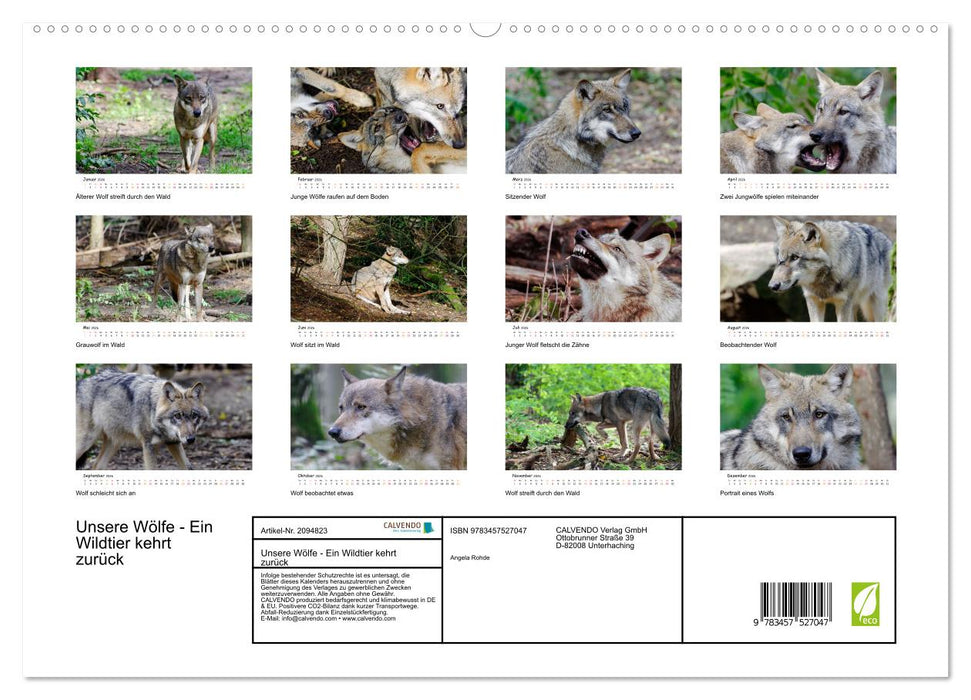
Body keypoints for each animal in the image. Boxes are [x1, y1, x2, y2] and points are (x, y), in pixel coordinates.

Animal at [76, 367, 209, 470]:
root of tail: (82, 381)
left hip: (114, 442)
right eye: (177, 416)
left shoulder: (173, 442)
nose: (190, 439)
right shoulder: (148, 445)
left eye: (194, 416)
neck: (152, 408)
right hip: (87, 441)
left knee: (96, 466)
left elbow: (188, 467)